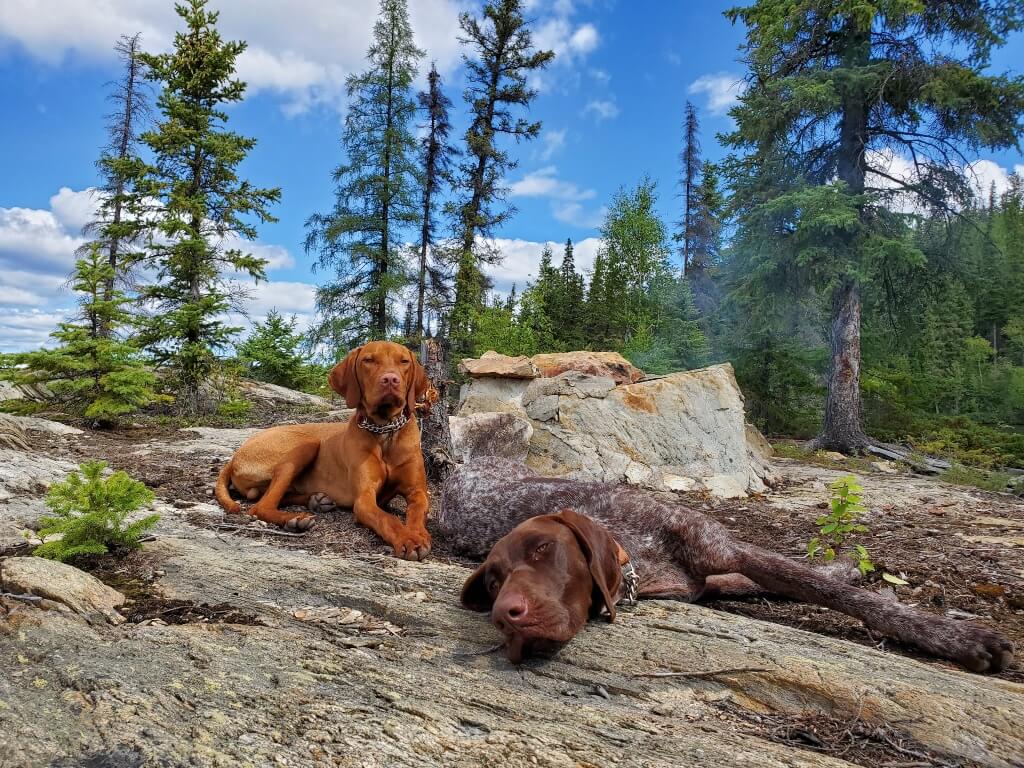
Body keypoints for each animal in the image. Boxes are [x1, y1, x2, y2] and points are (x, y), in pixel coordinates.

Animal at [218, 342, 434, 561]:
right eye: (369, 360)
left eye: (404, 361)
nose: (390, 379)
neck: (385, 432)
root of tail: (235, 456)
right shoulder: (364, 498)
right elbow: (387, 518)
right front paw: (407, 538)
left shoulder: (417, 491)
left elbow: (418, 511)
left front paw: (418, 533)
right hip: (307, 444)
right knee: (260, 506)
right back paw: (295, 519)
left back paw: (315, 501)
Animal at [442, 456, 1015, 671]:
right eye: (491, 582)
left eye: (544, 550)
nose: (506, 614)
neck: (637, 555)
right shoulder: (706, 579)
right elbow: (785, 581)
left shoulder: (719, 552)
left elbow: (818, 584)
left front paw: (948, 634)